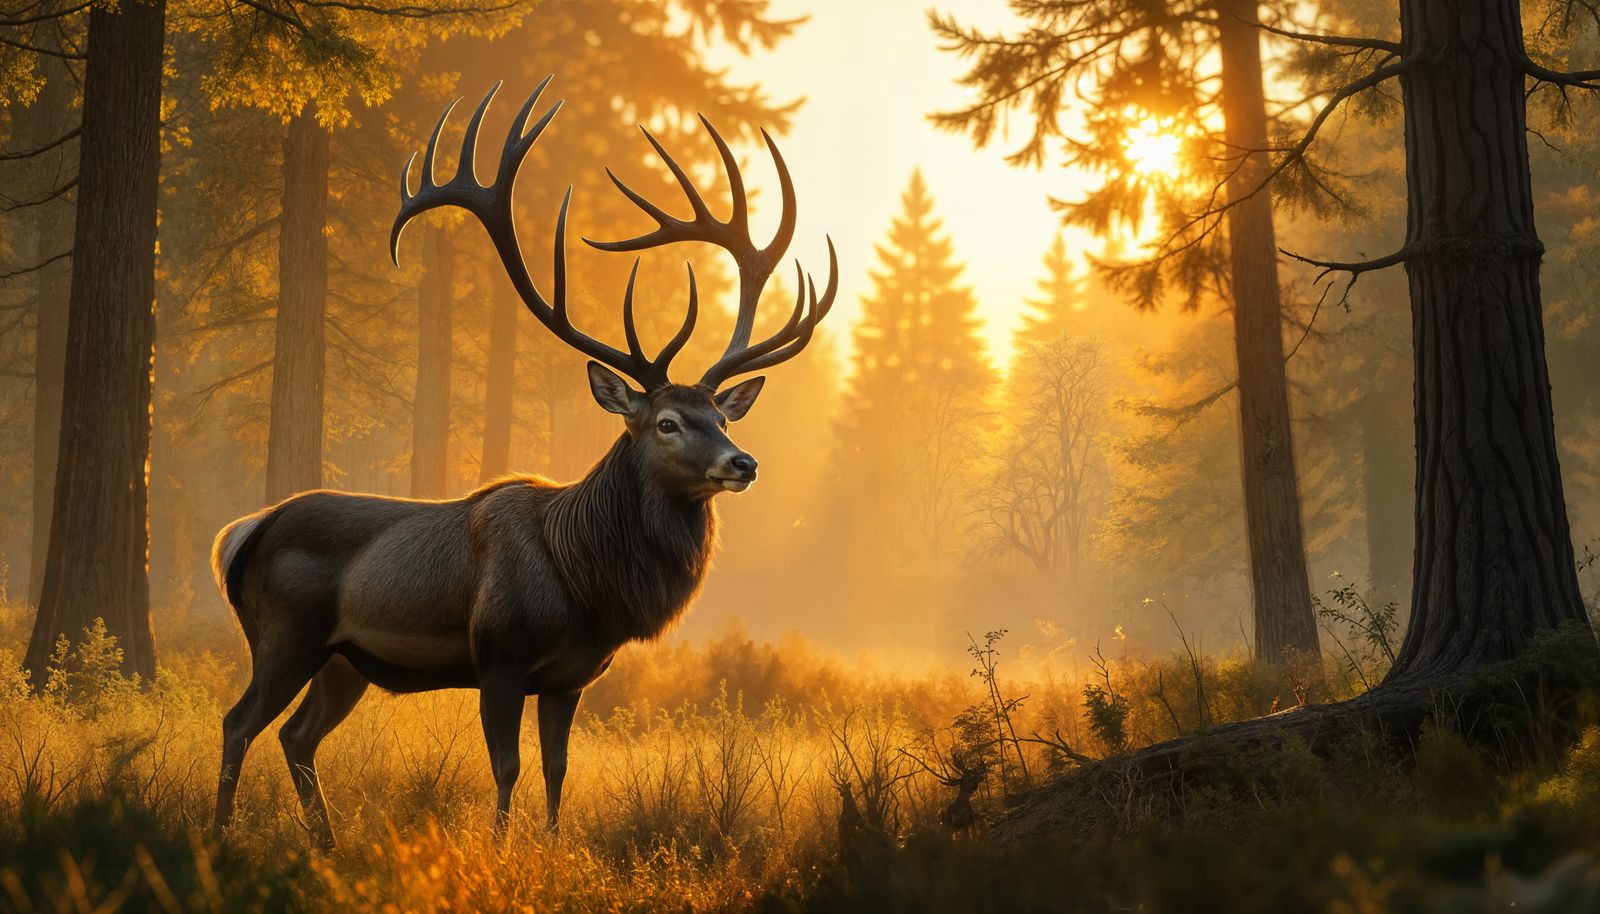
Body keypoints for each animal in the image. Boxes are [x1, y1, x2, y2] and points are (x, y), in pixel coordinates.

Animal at [209, 76, 836, 850]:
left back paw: (326, 842)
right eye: (666, 422)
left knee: (296, 736)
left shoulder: (569, 677)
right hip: (283, 634)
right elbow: (506, 766)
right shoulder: (499, 655)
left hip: (344, 660)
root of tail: (243, 533)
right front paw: (501, 850)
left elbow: (558, 769)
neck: (587, 581)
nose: (742, 462)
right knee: (239, 722)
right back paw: (220, 835)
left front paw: (553, 846)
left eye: (721, 417)